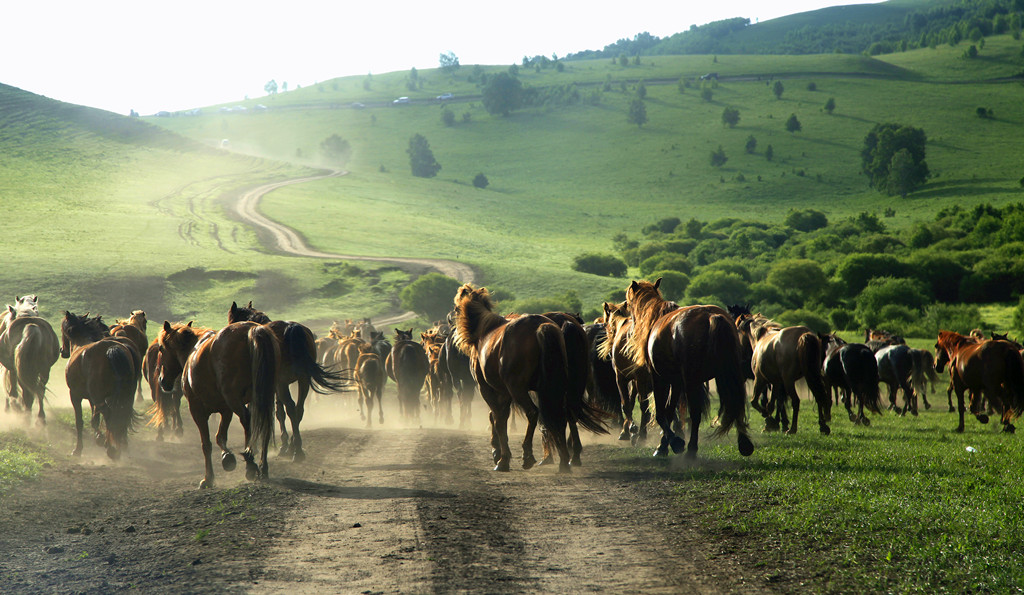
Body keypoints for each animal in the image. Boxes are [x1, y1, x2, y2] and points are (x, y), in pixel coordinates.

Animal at [59, 311, 142, 458]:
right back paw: (119, 444)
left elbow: (80, 421)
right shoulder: (93, 399)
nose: (62, 350)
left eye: (63, 329)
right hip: (126, 395)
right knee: (122, 414)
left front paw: (78, 449)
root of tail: (111, 348)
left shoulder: (75, 395)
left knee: (110, 415)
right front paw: (99, 437)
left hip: (99, 397)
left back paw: (112, 449)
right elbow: (95, 419)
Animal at [155, 319, 278, 487]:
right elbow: (220, 436)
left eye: (161, 348)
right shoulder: (226, 410)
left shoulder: (197, 410)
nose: (162, 380)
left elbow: (206, 444)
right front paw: (227, 457)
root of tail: (251, 329)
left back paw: (250, 464)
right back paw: (263, 467)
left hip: (234, 399)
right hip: (261, 398)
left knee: (247, 420)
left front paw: (208, 478)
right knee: (264, 426)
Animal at [229, 301, 352, 458]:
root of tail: (291, 328)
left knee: (291, 409)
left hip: (283, 384)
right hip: (303, 381)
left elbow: (276, 412)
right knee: (298, 409)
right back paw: (296, 446)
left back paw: (296, 451)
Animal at [614, 280, 753, 456]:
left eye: (629, 303)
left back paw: (691, 449)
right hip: (731, 374)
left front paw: (673, 443)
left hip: (691, 381)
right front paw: (663, 445)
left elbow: (661, 413)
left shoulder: (659, 378)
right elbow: (669, 412)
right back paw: (744, 443)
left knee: (695, 413)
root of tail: (712, 317)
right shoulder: (676, 382)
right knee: (736, 404)